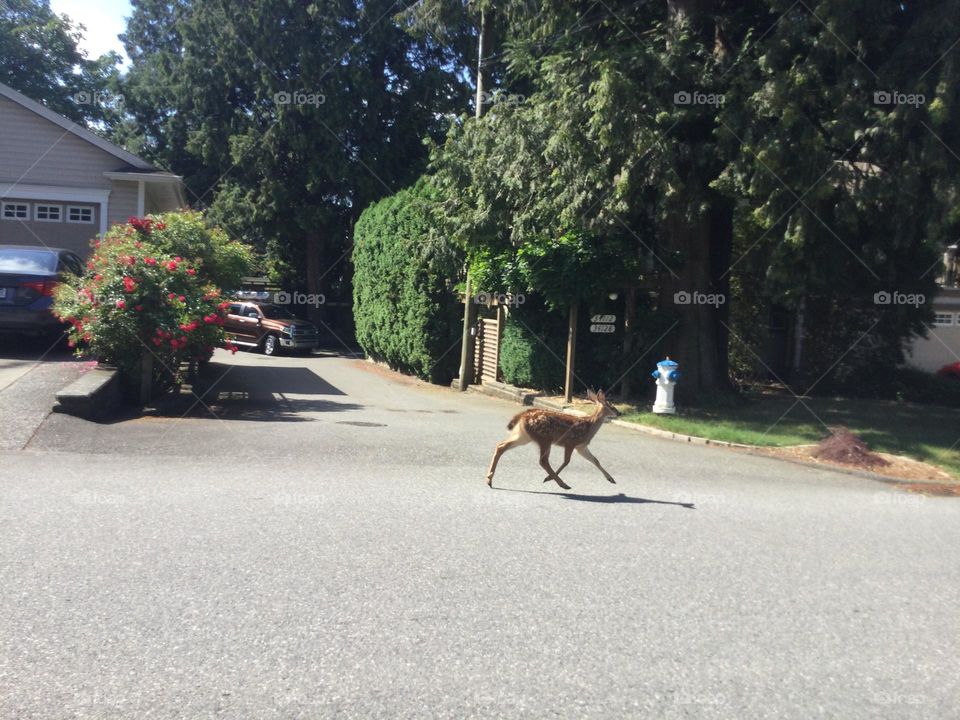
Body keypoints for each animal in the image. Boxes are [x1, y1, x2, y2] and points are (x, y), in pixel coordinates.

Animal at [486, 389, 621, 489]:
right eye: (611, 406)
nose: (619, 413)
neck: (589, 426)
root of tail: (523, 415)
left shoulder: (581, 446)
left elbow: (595, 460)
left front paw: (611, 479)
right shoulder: (571, 442)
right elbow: (566, 462)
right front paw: (549, 478)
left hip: (523, 436)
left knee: (501, 446)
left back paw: (489, 479)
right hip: (544, 438)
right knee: (543, 461)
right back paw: (562, 483)